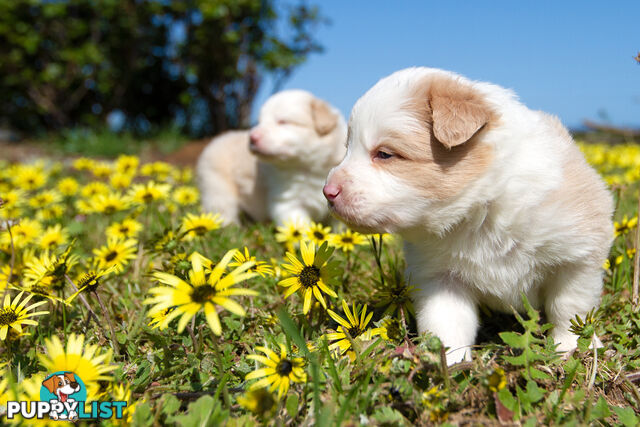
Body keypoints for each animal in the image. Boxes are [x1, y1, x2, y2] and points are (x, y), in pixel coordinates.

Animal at [198, 89, 348, 226]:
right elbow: (300, 228)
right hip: (217, 188)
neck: (308, 168)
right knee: (223, 210)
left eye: (283, 122)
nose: (252, 138)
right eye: (259, 122)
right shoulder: (287, 202)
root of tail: (217, 140)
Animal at [324, 67, 616, 364]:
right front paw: (448, 363)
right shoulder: (441, 277)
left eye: (384, 154)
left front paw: (570, 347)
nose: (328, 192)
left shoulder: (577, 256)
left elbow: (568, 306)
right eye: (347, 149)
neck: (479, 210)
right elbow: (446, 321)